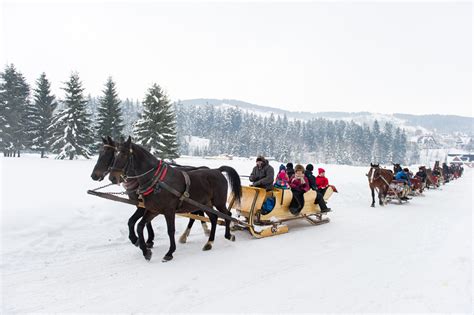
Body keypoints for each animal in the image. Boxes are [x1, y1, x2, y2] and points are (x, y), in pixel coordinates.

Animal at [107, 137, 241, 262]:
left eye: (124, 154)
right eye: (114, 154)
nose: (112, 178)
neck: (157, 181)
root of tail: (217, 170)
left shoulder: (169, 210)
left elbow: (170, 230)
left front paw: (169, 252)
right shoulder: (153, 210)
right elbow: (139, 226)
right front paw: (146, 251)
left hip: (218, 202)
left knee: (227, 214)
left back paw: (228, 235)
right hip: (206, 204)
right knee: (214, 218)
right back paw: (209, 242)